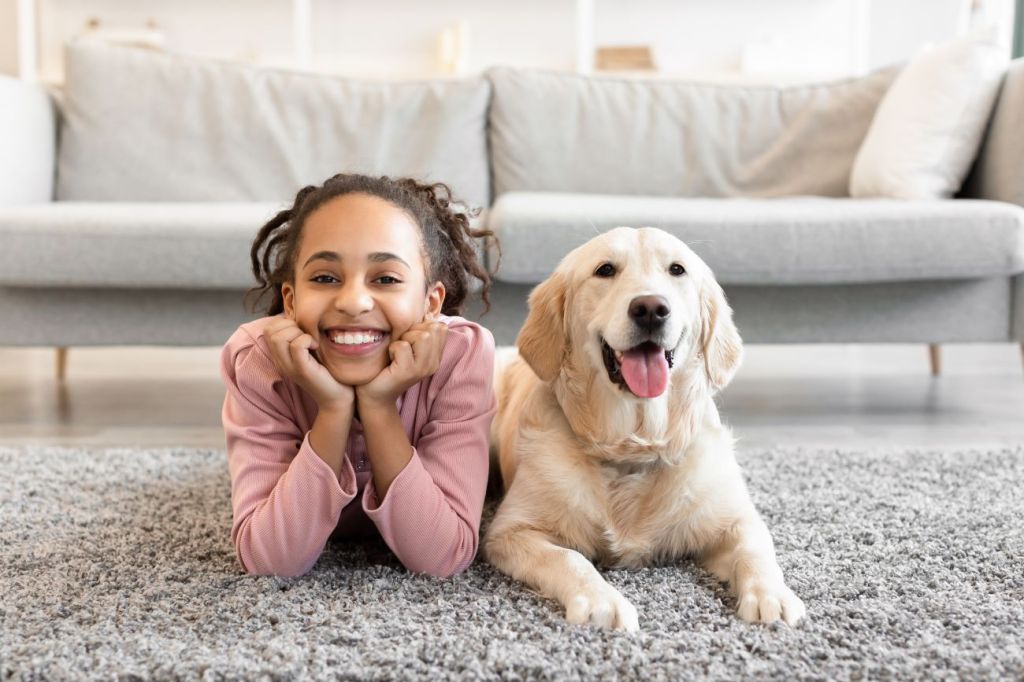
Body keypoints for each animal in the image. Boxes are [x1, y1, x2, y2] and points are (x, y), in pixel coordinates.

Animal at [487, 225, 806, 630]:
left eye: (677, 269)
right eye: (605, 269)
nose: (651, 309)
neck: (633, 447)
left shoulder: (734, 518)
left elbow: (756, 549)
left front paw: (771, 596)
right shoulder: (510, 532)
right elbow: (569, 558)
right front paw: (602, 601)